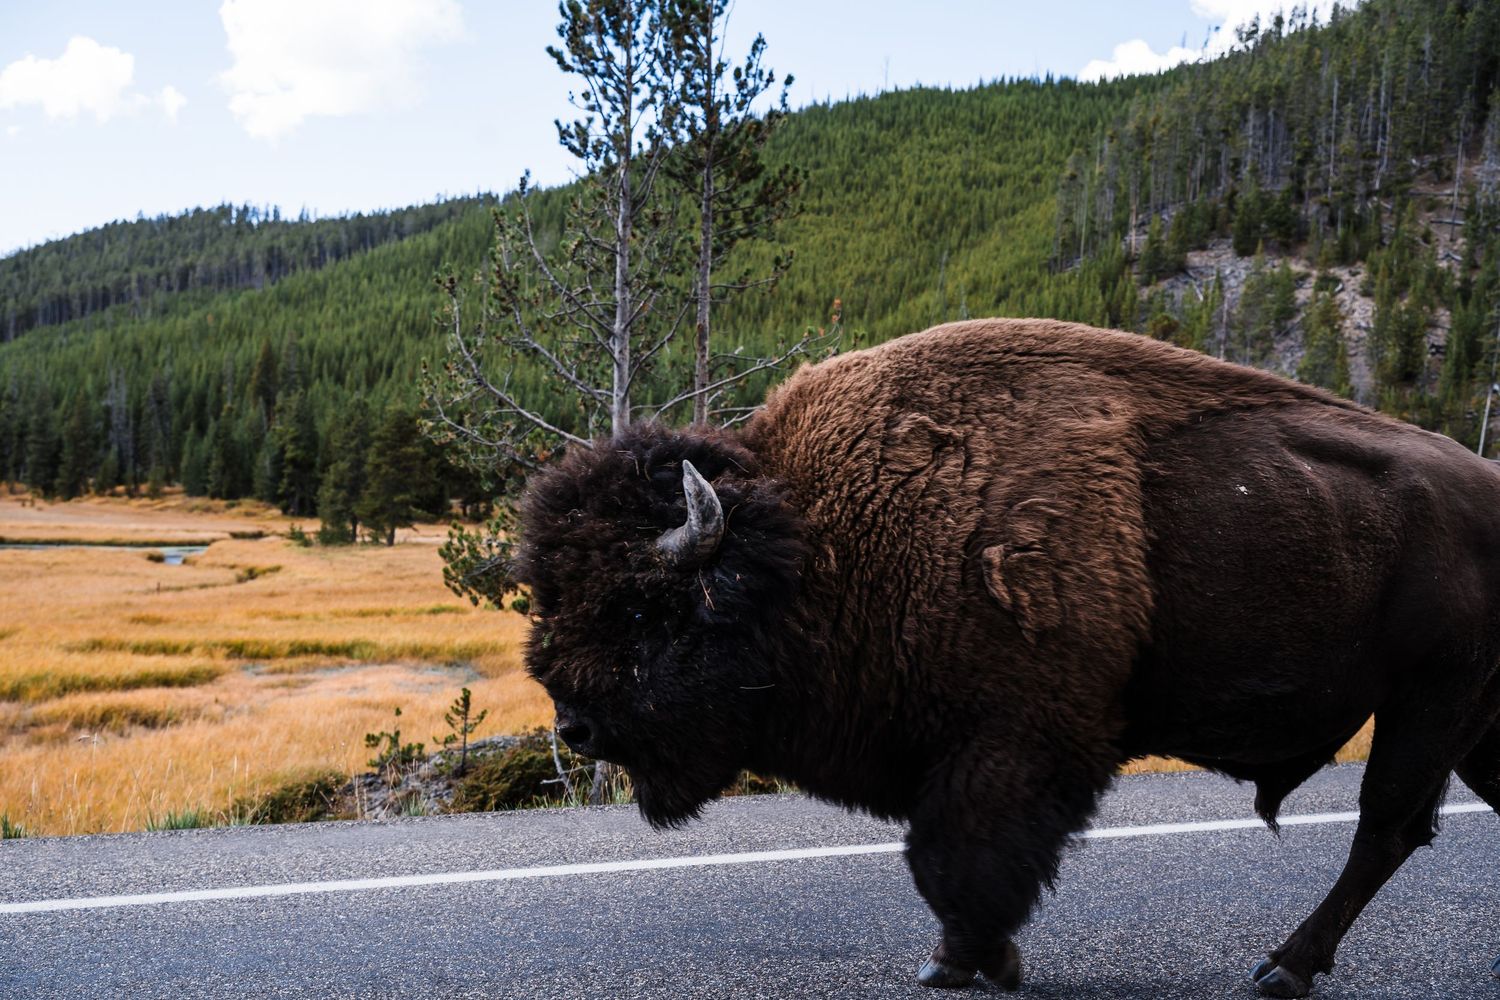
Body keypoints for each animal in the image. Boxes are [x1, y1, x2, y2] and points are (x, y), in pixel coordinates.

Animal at [517, 319, 1500, 996]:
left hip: (1432, 699)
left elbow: (954, 856)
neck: (814, 542)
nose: (576, 726)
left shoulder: (1016, 742)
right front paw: (969, 961)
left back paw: (1283, 968)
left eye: (641, 606)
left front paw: (968, 963)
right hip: (1469, 721)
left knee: (1384, 828)